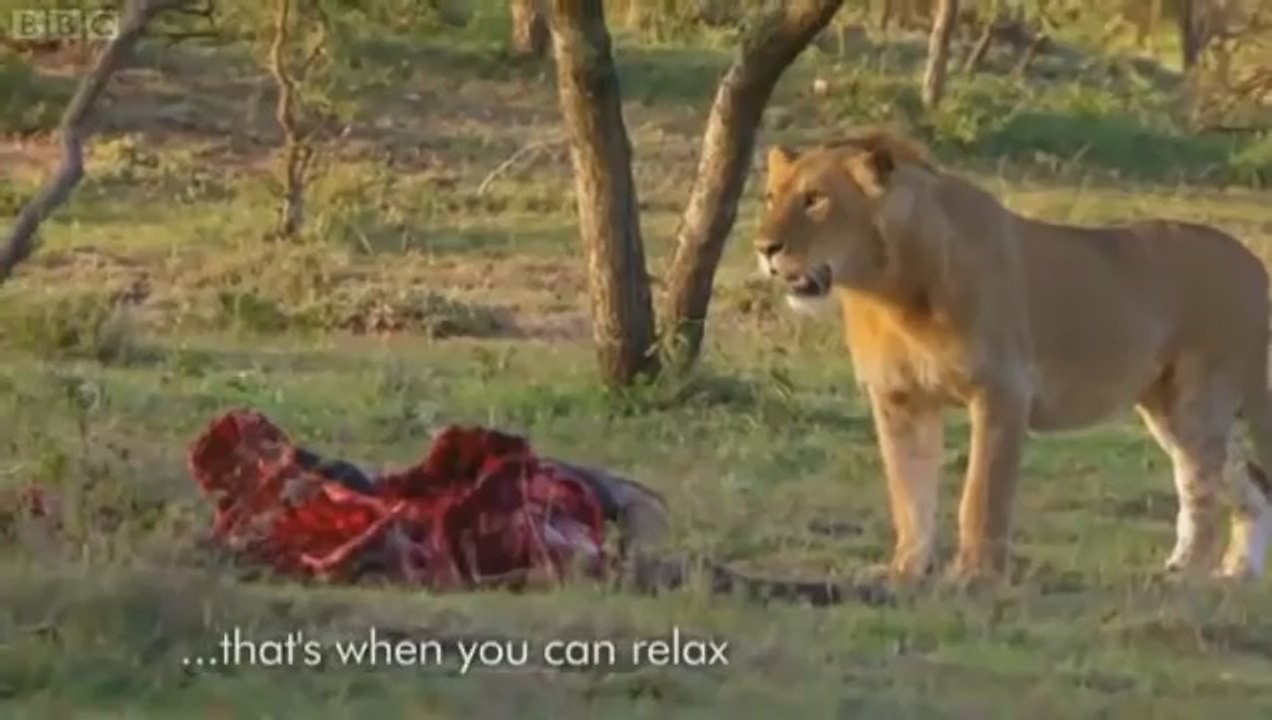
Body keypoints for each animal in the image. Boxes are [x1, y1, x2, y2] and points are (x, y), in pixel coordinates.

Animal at [753, 129, 1272, 583]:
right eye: (770, 197)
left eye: (815, 199)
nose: (764, 248)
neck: (886, 293)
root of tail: (1252, 262)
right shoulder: (899, 399)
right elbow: (909, 493)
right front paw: (905, 571)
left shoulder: (1002, 389)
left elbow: (983, 494)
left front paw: (975, 578)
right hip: (1169, 411)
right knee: (1245, 482)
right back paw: (1233, 573)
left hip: (1198, 402)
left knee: (1205, 489)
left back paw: (1190, 576)